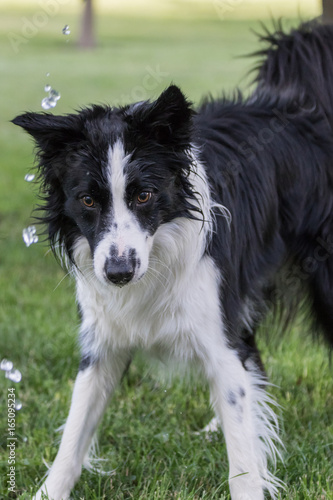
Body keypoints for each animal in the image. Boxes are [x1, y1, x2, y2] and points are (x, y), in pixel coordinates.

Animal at [14, 20, 332, 500]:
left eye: (144, 195)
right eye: (87, 200)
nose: (119, 273)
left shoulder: (219, 335)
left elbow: (242, 461)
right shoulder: (101, 344)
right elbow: (72, 437)